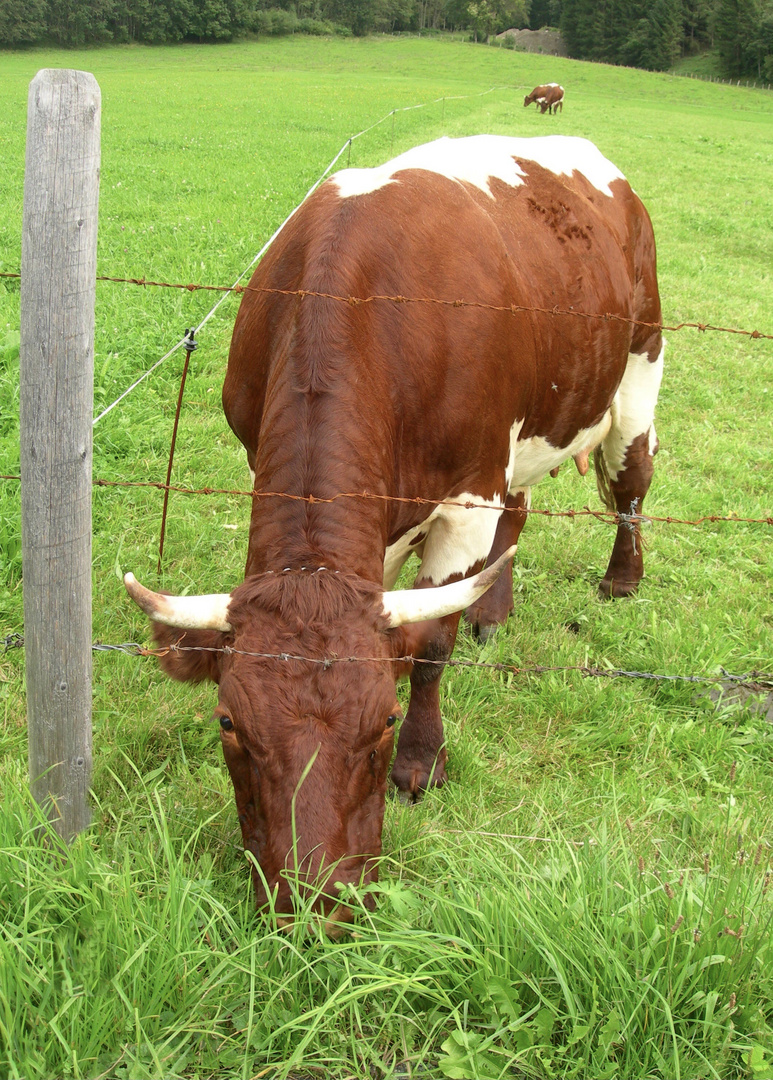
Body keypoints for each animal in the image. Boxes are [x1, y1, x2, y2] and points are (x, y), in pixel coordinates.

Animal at [126, 132, 665, 928]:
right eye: (227, 724)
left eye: (381, 722)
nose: (316, 902)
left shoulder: (468, 491)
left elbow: (431, 646)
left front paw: (422, 761)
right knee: (520, 512)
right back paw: (494, 610)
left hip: (637, 369)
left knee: (630, 484)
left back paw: (620, 579)